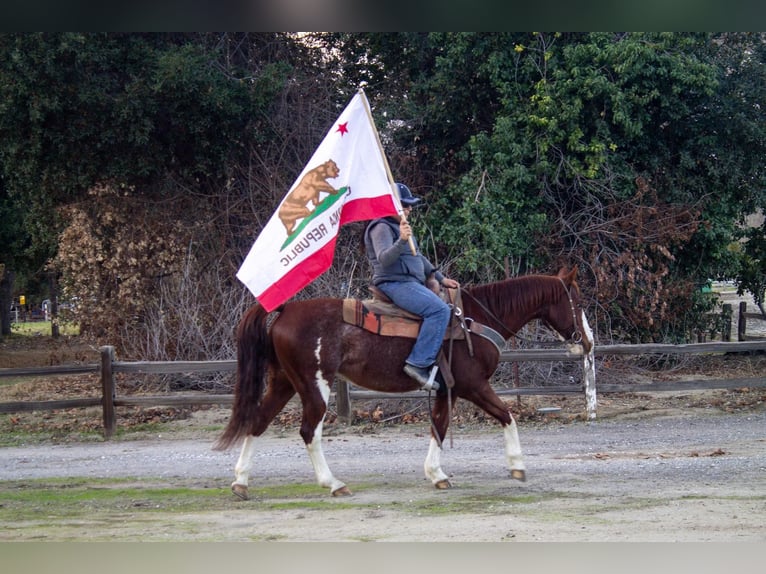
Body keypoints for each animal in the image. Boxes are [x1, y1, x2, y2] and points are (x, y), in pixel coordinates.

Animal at [214, 266, 592, 500]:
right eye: (578, 301)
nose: (587, 343)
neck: (473, 320)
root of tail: (286, 309)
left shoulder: (446, 389)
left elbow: (439, 426)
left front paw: (436, 475)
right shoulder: (472, 385)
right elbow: (506, 416)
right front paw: (517, 466)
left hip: (283, 382)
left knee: (257, 422)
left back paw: (241, 482)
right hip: (314, 386)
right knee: (309, 431)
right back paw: (334, 484)